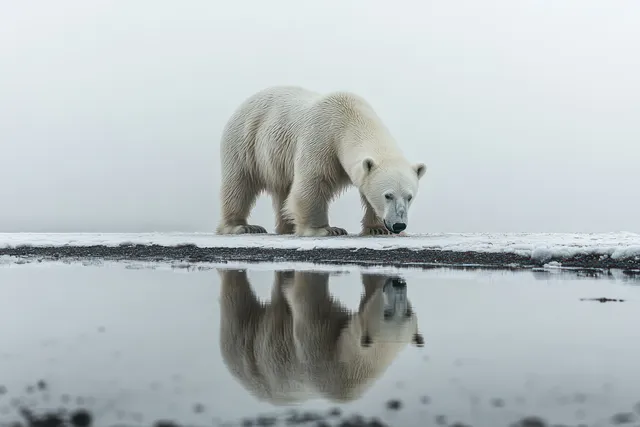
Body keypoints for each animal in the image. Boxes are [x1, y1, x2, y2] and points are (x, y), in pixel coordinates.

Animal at [215, 86, 427, 237]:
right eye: (388, 195)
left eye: (409, 196)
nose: (398, 225)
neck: (350, 118)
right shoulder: (321, 139)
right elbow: (312, 184)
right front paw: (326, 229)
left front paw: (377, 229)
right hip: (245, 143)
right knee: (239, 184)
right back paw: (242, 227)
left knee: (282, 189)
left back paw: (287, 227)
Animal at [217, 268, 424, 404]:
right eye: (387, 313)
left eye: (407, 312)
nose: (398, 284)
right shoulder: (321, 351)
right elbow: (305, 298)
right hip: (249, 353)